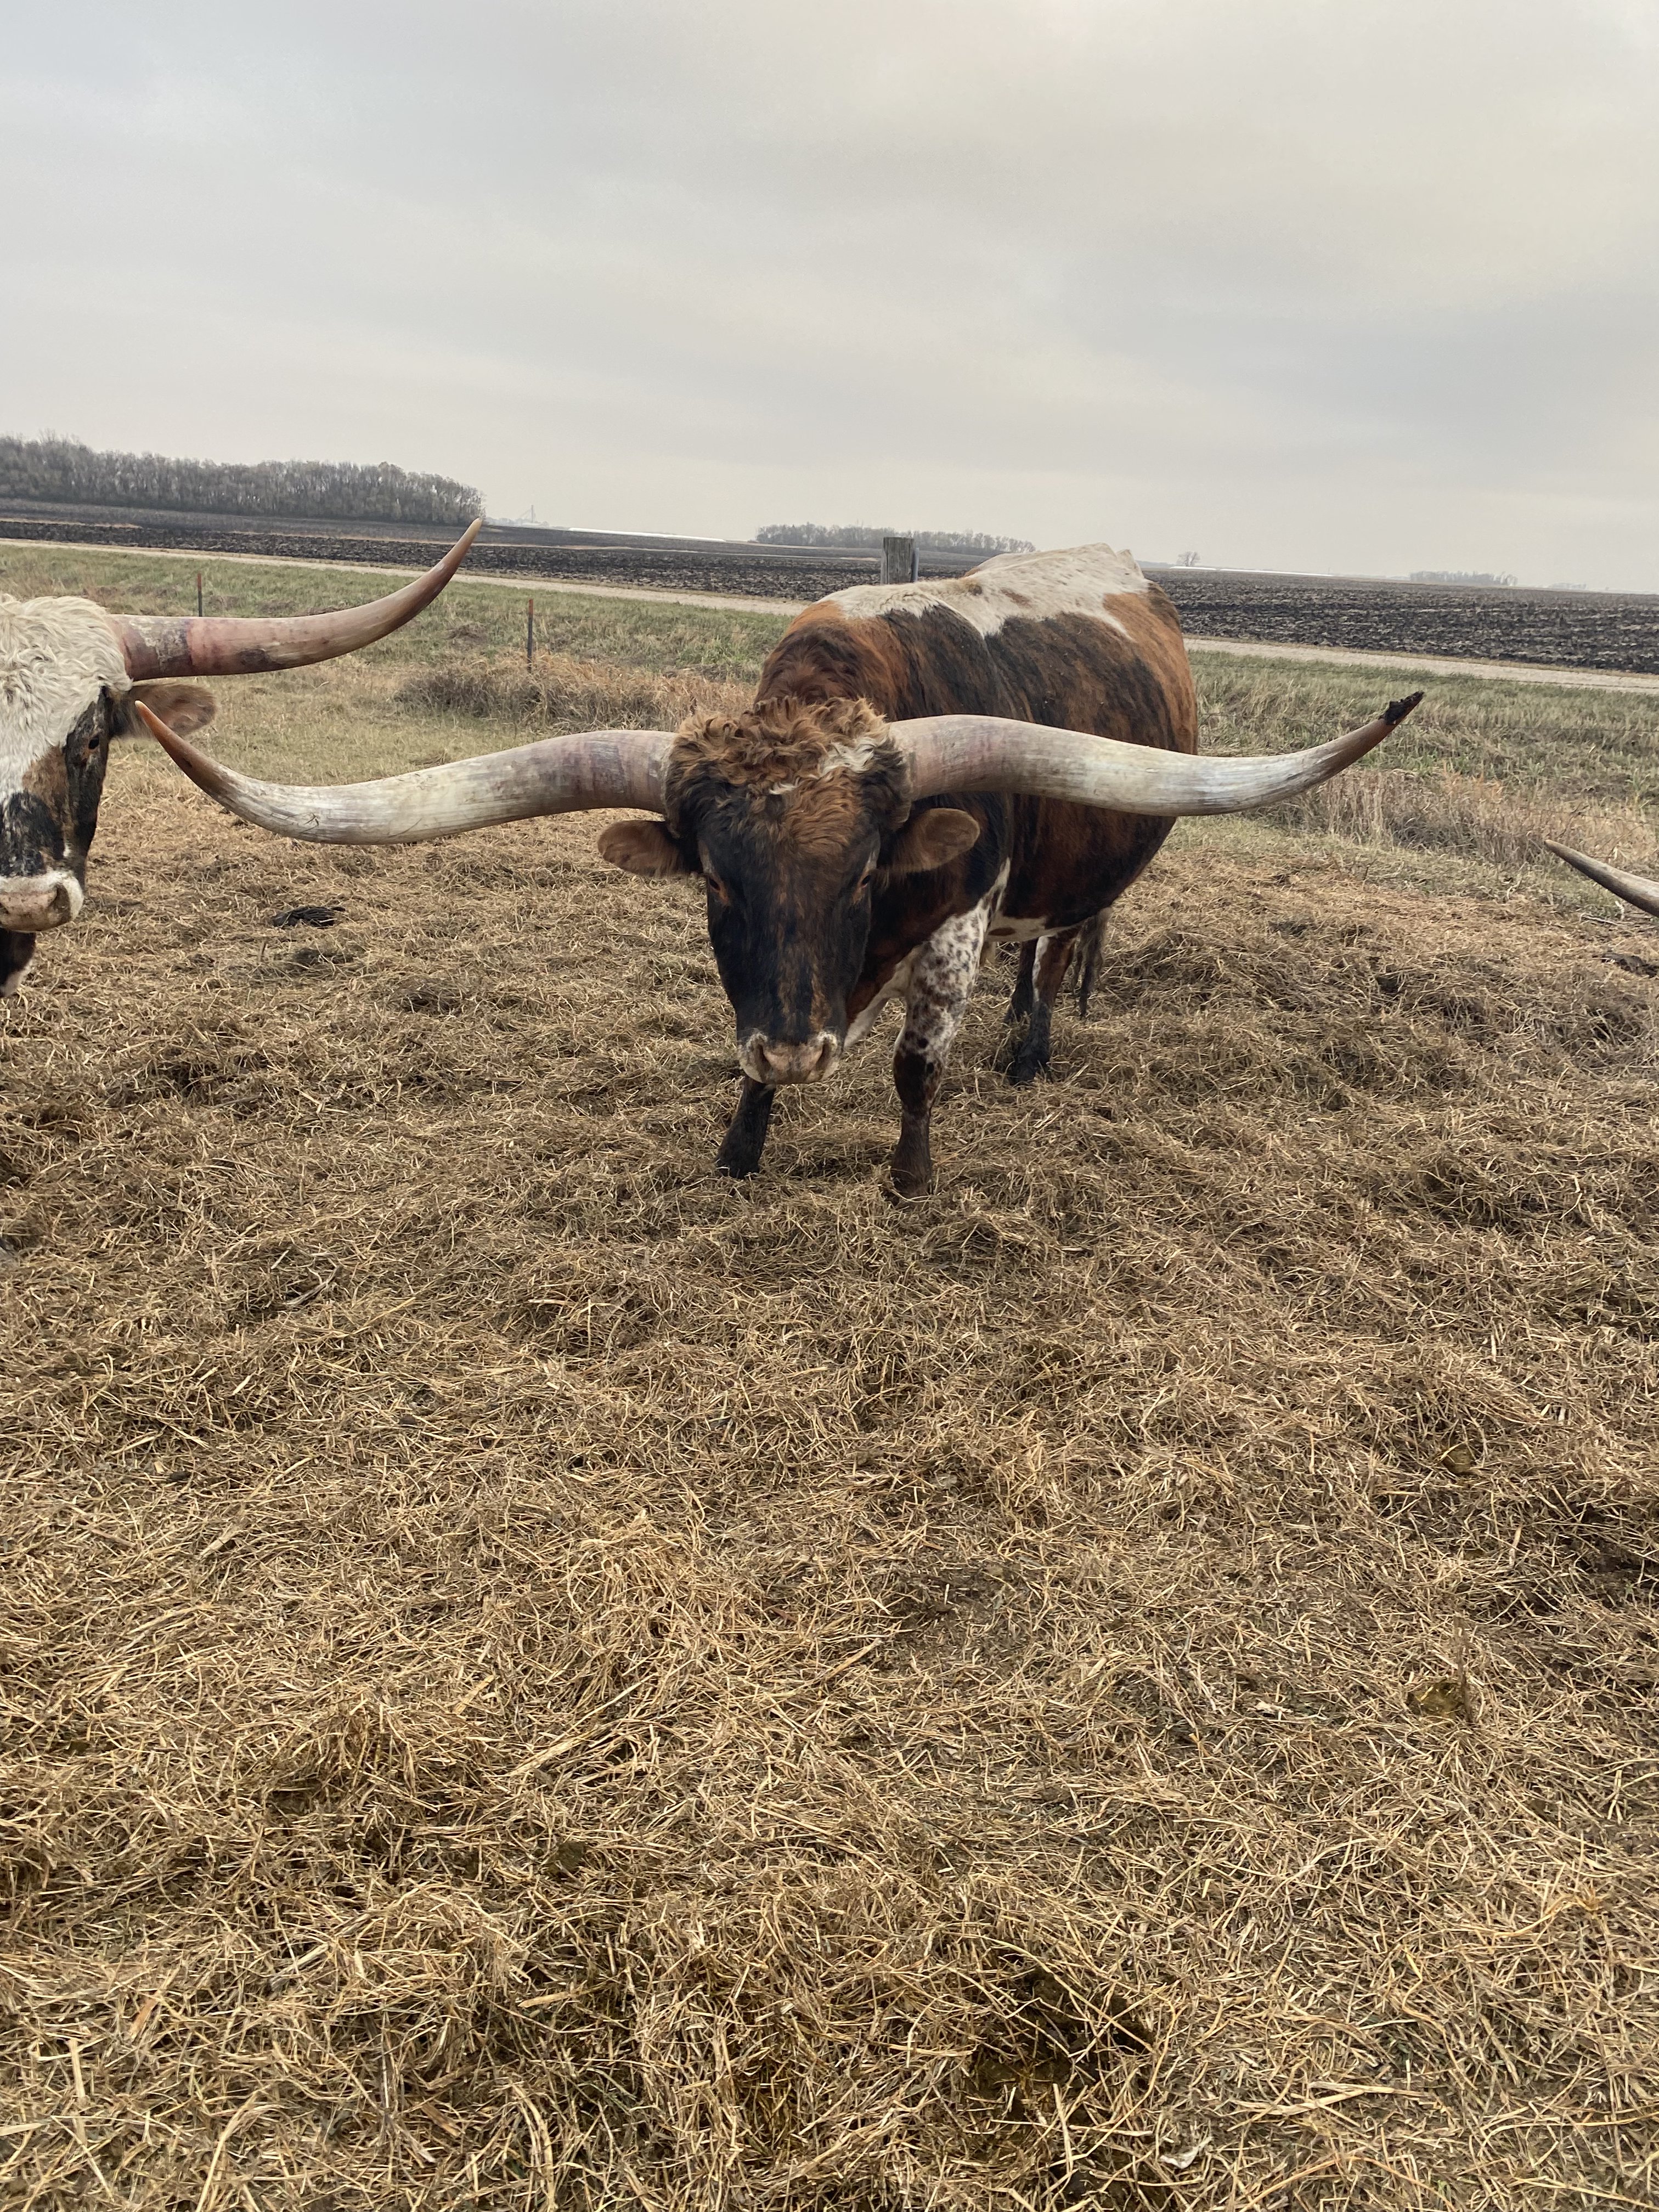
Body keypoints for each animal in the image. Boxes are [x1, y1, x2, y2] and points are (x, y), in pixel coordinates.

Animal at [139, 542, 1419, 1193]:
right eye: (715, 883)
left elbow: (915, 1062)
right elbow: (743, 1050)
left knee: (1054, 952)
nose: (803, 1053)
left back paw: (1031, 1048)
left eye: (861, 876)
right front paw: (742, 1145)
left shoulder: (956, 918)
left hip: (1074, 887)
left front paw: (909, 1175)